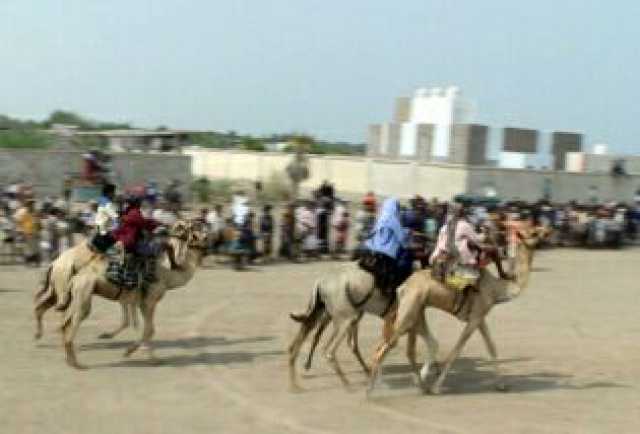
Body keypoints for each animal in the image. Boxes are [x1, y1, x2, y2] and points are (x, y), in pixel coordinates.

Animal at [33, 222, 208, 368]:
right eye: (194, 232)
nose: (207, 240)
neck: (168, 274)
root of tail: (54, 263)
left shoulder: (131, 298)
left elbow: (132, 323)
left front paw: (112, 339)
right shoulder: (148, 300)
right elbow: (149, 329)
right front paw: (145, 356)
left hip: (64, 292)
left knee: (51, 312)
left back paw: (52, 344)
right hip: (75, 292)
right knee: (68, 318)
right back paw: (73, 359)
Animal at [364, 231, 540, 396]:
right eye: (534, 232)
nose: (544, 233)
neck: (497, 290)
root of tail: (403, 286)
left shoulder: (479, 317)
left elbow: (492, 347)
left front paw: (502, 385)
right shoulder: (474, 318)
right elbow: (457, 350)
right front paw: (436, 387)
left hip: (415, 311)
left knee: (407, 345)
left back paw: (413, 383)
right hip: (408, 313)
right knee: (385, 348)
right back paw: (372, 391)